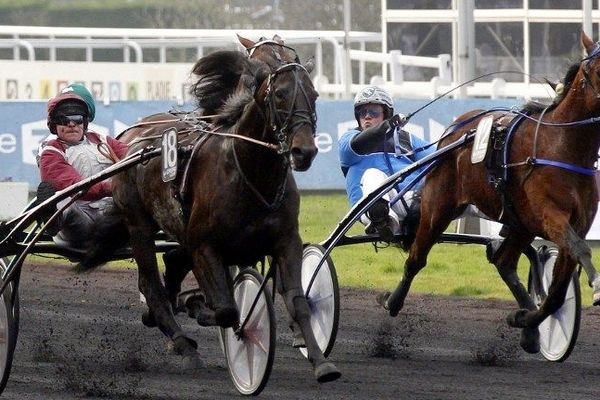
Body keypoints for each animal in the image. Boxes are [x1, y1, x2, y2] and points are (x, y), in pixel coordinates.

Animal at [109, 43, 340, 382]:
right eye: (280, 94)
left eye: (314, 94)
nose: (304, 151)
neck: (250, 172)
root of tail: (129, 135)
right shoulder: (205, 246)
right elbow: (228, 308)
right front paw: (198, 307)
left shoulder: (286, 241)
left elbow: (298, 302)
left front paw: (321, 362)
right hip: (138, 224)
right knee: (151, 284)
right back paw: (182, 342)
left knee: (173, 262)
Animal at [380, 32, 600, 354]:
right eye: (594, 70)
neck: (563, 147)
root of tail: (458, 126)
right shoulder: (552, 217)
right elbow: (581, 250)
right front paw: (596, 286)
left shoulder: (576, 224)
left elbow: (557, 294)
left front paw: (525, 319)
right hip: (439, 206)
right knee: (417, 258)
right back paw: (393, 301)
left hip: (520, 222)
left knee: (504, 262)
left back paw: (529, 325)